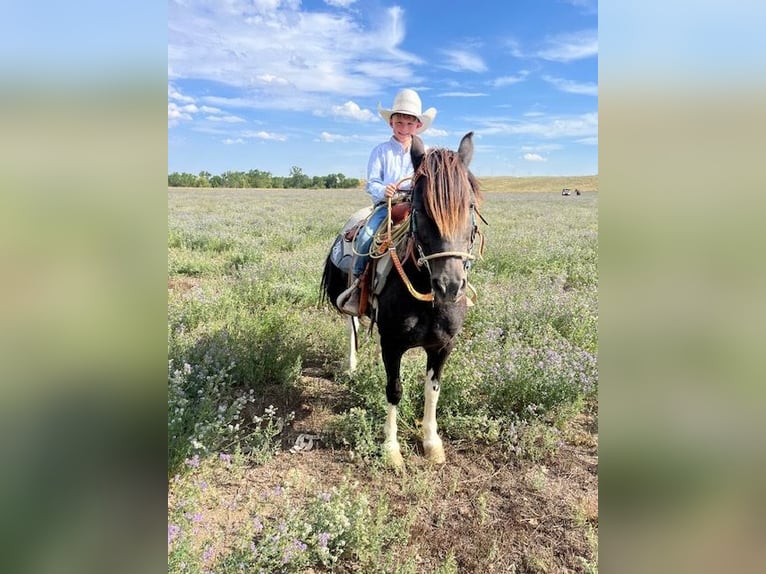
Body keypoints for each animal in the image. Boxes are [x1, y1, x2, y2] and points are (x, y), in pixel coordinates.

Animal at [320, 133, 484, 466]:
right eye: (420, 208)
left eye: (470, 205)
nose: (449, 286)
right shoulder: (392, 343)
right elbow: (394, 390)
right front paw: (391, 449)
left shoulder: (443, 345)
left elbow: (432, 390)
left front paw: (432, 443)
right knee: (352, 326)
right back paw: (351, 366)